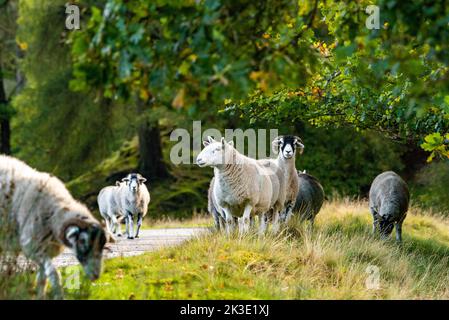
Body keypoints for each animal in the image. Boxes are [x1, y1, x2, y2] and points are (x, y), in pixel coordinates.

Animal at [0, 154, 107, 298]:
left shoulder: (45, 250)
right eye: (82, 242)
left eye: (102, 246)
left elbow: (42, 278)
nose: (96, 275)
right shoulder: (33, 247)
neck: (54, 210)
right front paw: (58, 296)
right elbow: (53, 273)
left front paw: (40, 296)